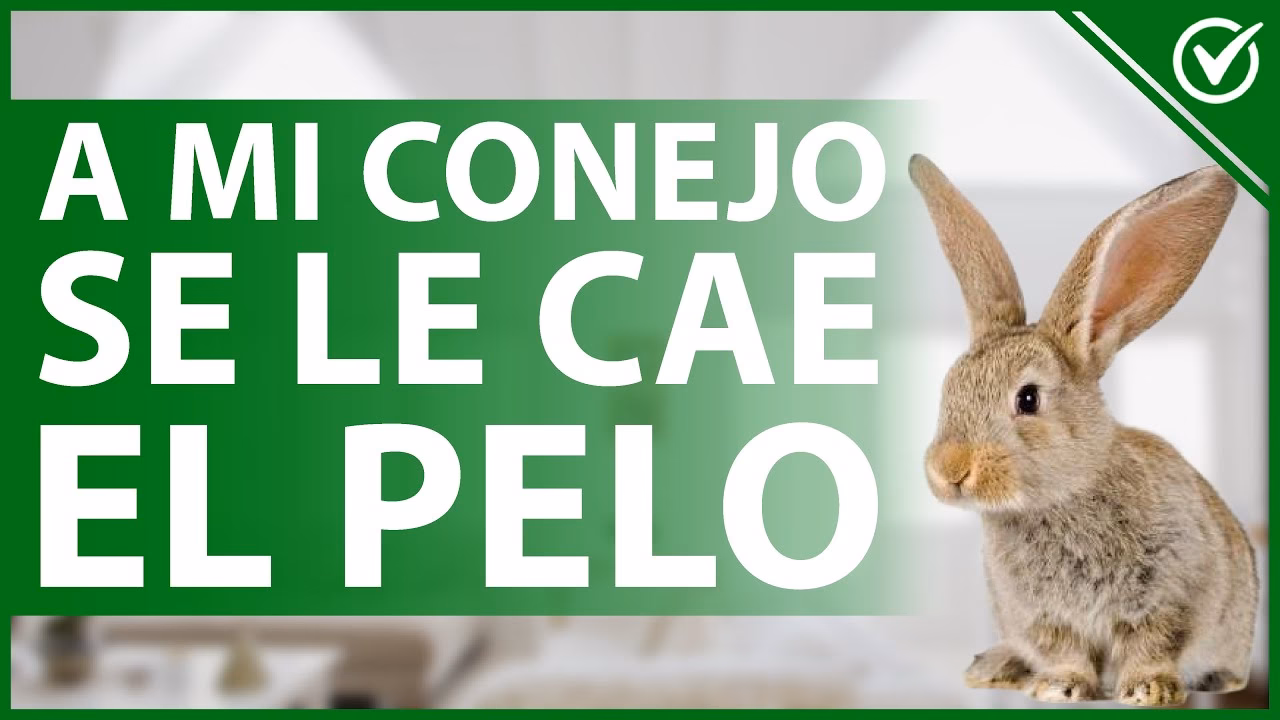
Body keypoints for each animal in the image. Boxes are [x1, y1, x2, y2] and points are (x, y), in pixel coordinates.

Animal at [910, 154, 1257, 706]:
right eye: (949, 386)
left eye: (1028, 399)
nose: (950, 469)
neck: (1063, 497)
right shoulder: (1042, 617)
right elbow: (1065, 650)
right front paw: (1060, 687)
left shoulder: (1170, 595)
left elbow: (1152, 642)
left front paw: (1148, 691)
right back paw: (995, 667)